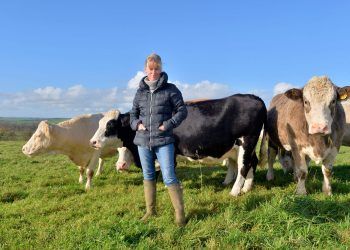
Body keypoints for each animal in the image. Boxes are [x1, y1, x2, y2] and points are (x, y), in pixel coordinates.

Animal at [90, 94, 266, 196]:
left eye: (110, 125)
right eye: (99, 123)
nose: (92, 142)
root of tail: (254, 97)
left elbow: (166, 169)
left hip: (247, 141)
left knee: (244, 166)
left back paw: (235, 191)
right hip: (241, 146)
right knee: (251, 162)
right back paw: (245, 187)